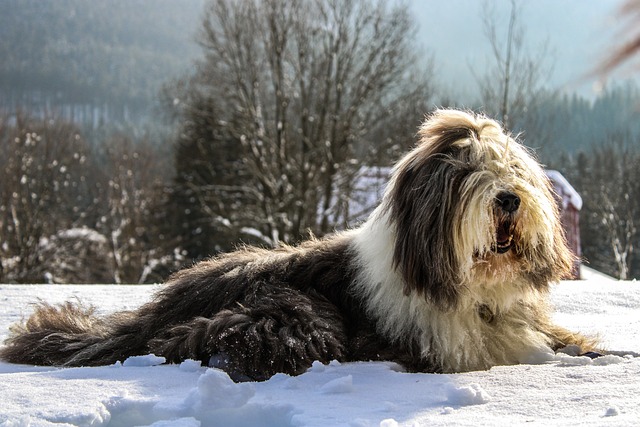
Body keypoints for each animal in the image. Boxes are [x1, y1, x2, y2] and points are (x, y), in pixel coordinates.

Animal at [2, 108, 596, 380]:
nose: (508, 199)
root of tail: (158, 309)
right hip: (295, 315)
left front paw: (590, 350)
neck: (475, 293)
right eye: (469, 172)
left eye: (512, 169)